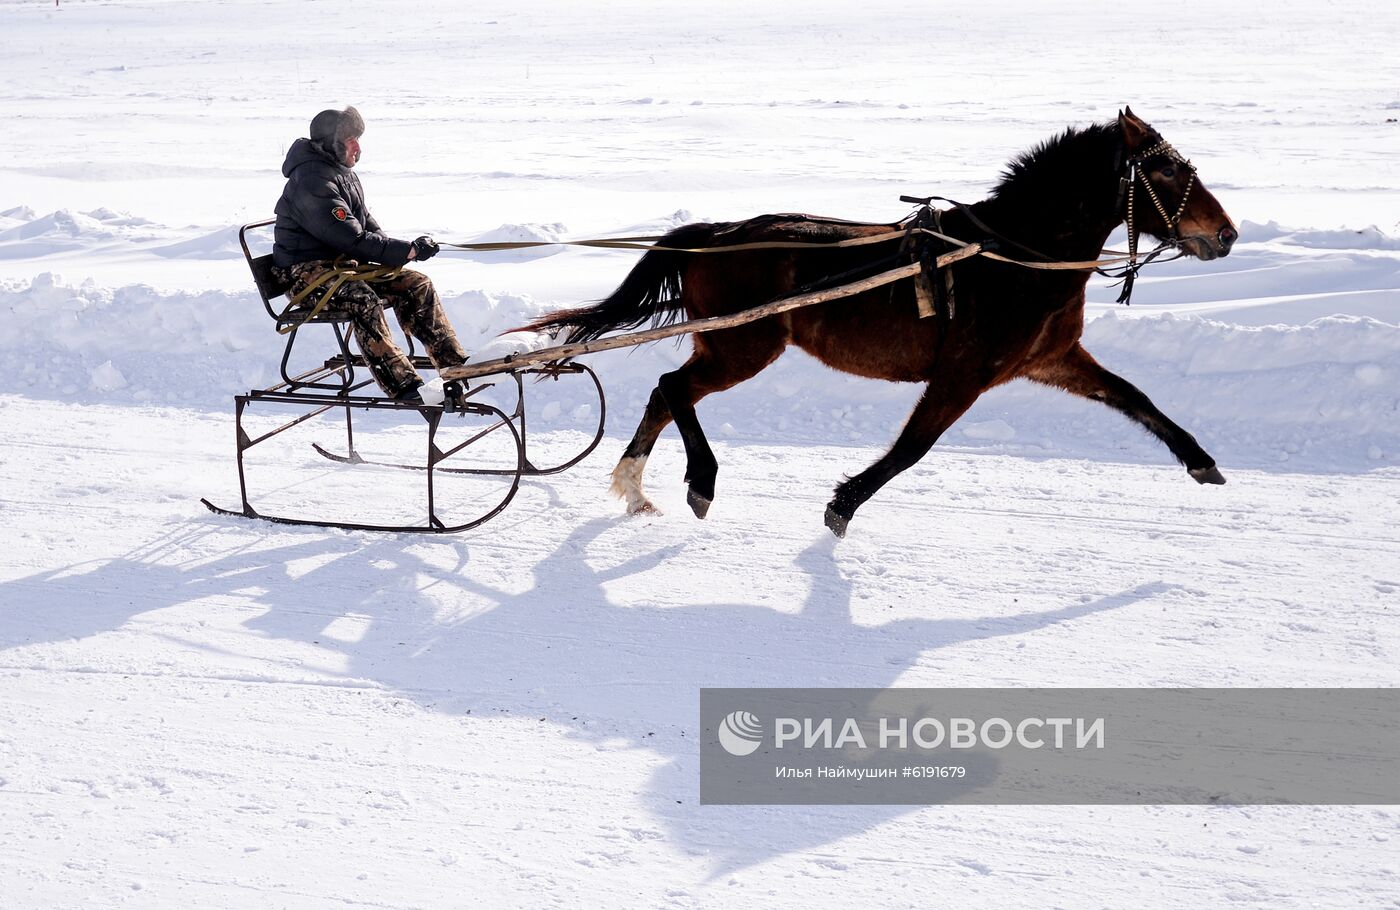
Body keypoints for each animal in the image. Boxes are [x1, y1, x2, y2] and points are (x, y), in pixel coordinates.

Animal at [523, 107, 1237, 534]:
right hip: (742, 345)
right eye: (1165, 168)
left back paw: (635, 487)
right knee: (674, 388)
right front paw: (842, 505)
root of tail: (715, 235)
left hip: (728, 344)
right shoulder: (965, 371)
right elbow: (912, 447)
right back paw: (701, 480)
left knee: (666, 392)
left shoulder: (1050, 360)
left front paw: (1201, 461)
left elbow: (1136, 397)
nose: (1226, 234)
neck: (1012, 254)